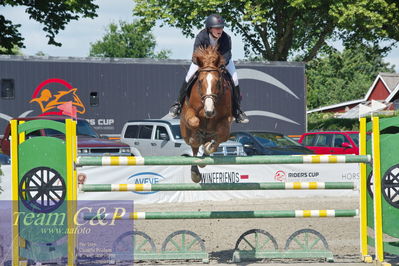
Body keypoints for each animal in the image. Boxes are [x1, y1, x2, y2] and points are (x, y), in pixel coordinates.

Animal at [180, 45, 233, 183]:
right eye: (199, 81)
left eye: (218, 82)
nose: (209, 111)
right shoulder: (189, 111)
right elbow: (194, 122)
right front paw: (196, 138)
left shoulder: (226, 119)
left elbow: (222, 134)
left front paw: (209, 148)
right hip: (185, 133)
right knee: (193, 150)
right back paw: (195, 173)